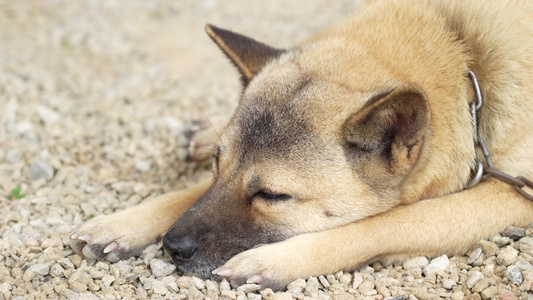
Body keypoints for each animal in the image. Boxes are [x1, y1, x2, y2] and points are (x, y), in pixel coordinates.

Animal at [69, 0, 532, 290]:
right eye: (219, 167)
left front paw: (275, 260)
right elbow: (189, 193)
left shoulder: (513, 196)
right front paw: (125, 222)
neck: (466, 57)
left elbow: (392, 222)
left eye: (273, 196)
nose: (171, 246)